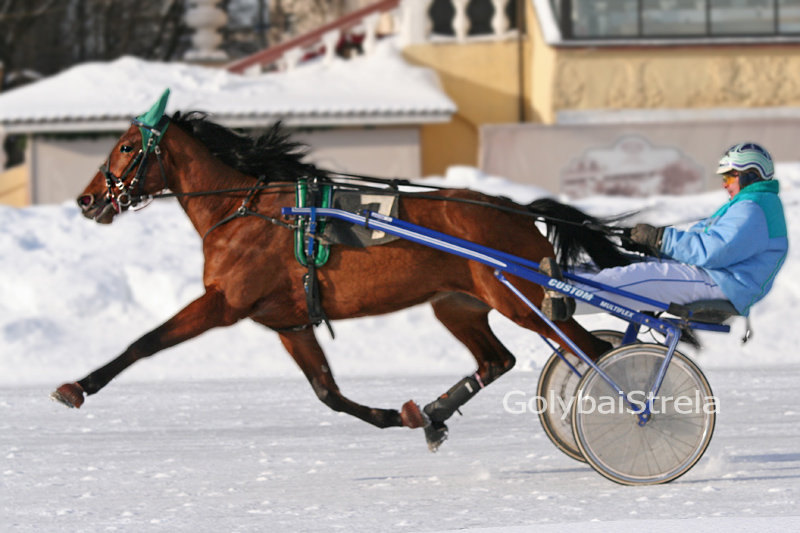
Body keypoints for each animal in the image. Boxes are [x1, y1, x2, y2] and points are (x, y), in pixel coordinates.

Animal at [53, 110, 636, 450]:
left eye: (127, 147)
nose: (88, 199)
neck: (240, 211)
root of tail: (516, 211)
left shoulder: (224, 303)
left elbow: (144, 342)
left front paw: (76, 387)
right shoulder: (288, 322)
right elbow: (327, 392)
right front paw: (401, 415)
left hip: (524, 300)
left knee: (594, 352)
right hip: (457, 303)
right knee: (499, 359)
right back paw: (433, 413)